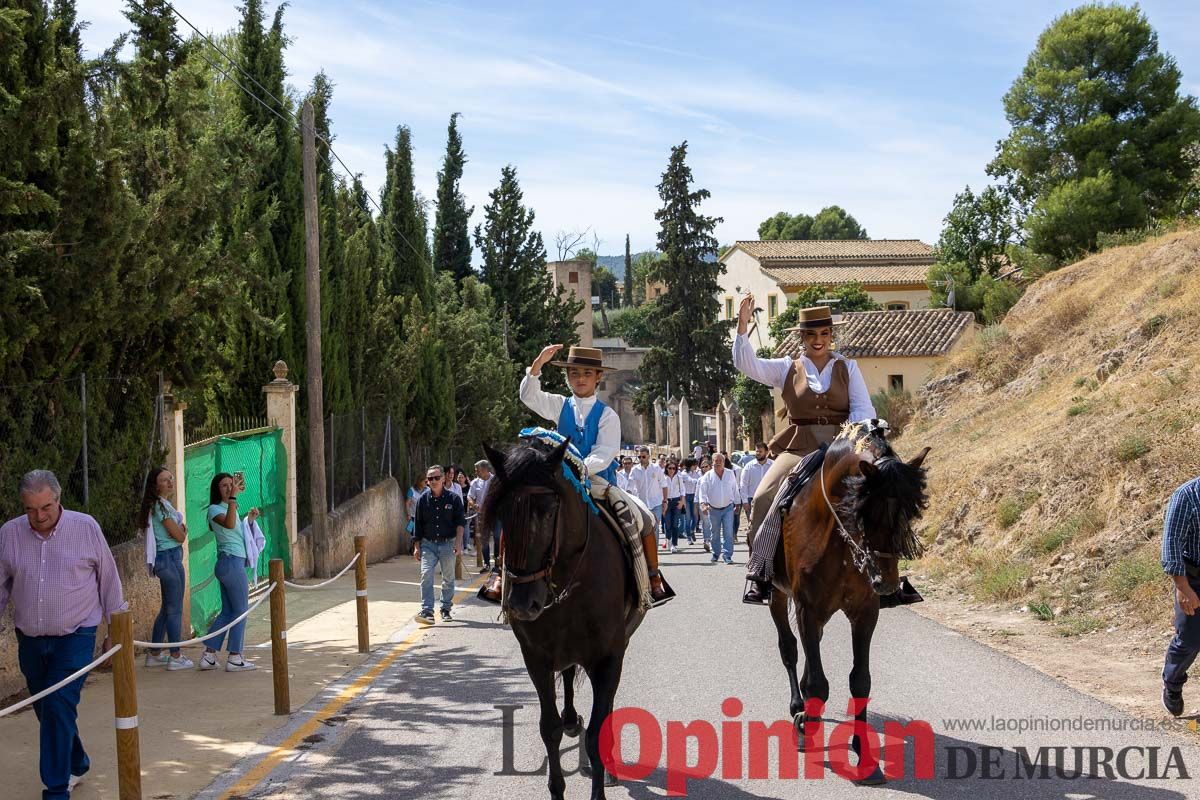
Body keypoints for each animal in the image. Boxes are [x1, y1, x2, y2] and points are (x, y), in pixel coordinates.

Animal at [480, 438, 648, 800]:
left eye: (548, 511)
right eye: (501, 513)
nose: (522, 603)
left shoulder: (609, 656)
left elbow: (598, 729)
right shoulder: (536, 658)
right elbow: (549, 728)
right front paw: (557, 788)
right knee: (569, 678)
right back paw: (572, 720)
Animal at [772, 429, 931, 786]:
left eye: (910, 513)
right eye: (867, 512)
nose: (886, 583)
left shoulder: (865, 613)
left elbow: (860, 681)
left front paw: (866, 759)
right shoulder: (806, 608)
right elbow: (818, 682)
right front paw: (805, 727)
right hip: (777, 596)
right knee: (789, 649)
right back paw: (798, 707)